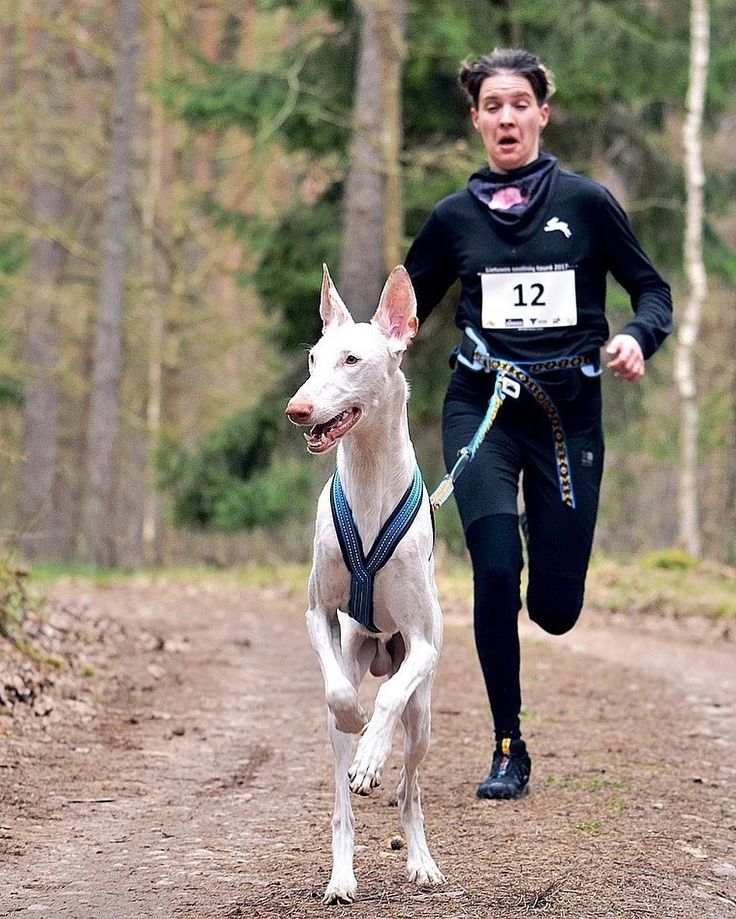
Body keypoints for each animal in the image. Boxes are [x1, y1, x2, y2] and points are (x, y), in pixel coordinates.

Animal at [286, 266, 446, 904]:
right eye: (312, 357)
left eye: (351, 359)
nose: (297, 409)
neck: (371, 475)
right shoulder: (318, 615)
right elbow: (340, 695)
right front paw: (356, 723)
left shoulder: (425, 645)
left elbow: (391, 699)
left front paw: (374, 752)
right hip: (355, 653)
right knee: (341, 806)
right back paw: (341, 875)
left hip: (424, 720)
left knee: (412, 789)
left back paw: (420, 858)